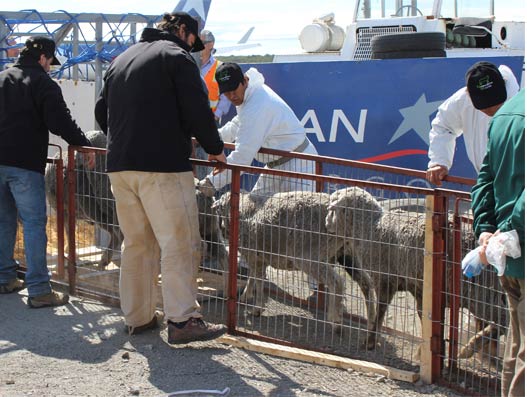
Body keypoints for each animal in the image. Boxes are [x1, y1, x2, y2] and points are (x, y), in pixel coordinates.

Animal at [44, 131, 122, 268]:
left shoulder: (63, 210)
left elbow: (68, 231)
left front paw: (69, 254)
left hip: (95, 206)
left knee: (117, 234)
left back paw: (103, 261)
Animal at [212, 189, 378, 328]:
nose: (222, 232)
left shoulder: (254, 254)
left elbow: (258, 281)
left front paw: (257, 308)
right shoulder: (258, 257)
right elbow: (252, 277)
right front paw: (245, 297)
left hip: (309, 256)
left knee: (336, 282)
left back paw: (335, 319)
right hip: (348, 254)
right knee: (366, 285)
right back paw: (371, 324)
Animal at [326, 186, 508, 356]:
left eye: (332, 209)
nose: (327, 225)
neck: (371, 227)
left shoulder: (385, 279)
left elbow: (381, 310)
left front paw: (370, 341)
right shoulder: (417, 287)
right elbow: (423, 316)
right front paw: (423, 350)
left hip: (478, 291)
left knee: (502, 322)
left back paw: (469, 349)